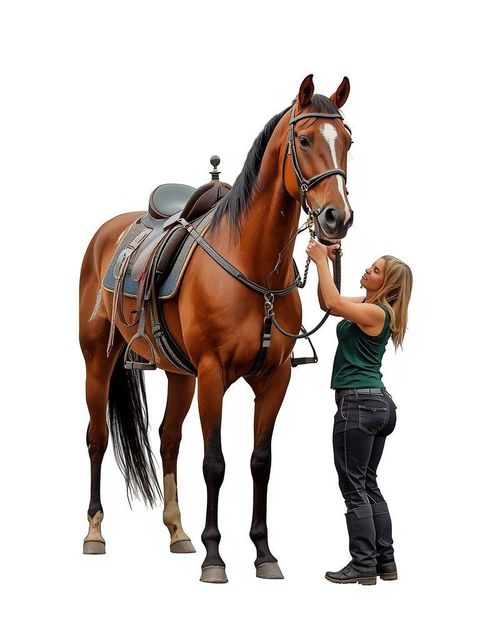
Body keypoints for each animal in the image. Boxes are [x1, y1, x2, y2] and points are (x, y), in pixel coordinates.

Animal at [79, 74, 354, 582]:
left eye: (347, 141)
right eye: (305, 140)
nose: (337, 217)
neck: (254, 265)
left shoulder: (274, 378)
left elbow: (260, 462)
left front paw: (264, 553)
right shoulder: (211, 374)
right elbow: (214, 463)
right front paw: (214, 557)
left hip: (178, 375)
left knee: (168, 439)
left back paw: (177, 531)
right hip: (97, 360)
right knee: (96, 438)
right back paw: (94, 531)